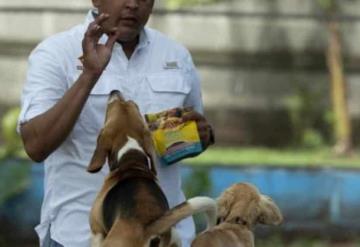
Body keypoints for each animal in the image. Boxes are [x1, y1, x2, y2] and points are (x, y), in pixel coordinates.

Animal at [87, 90, 217, 247]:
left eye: (110, 108)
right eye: (133, 104)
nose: (114, 91)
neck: (130, 156)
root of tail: (148, 226)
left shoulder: (97, 232)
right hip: (175, 236)